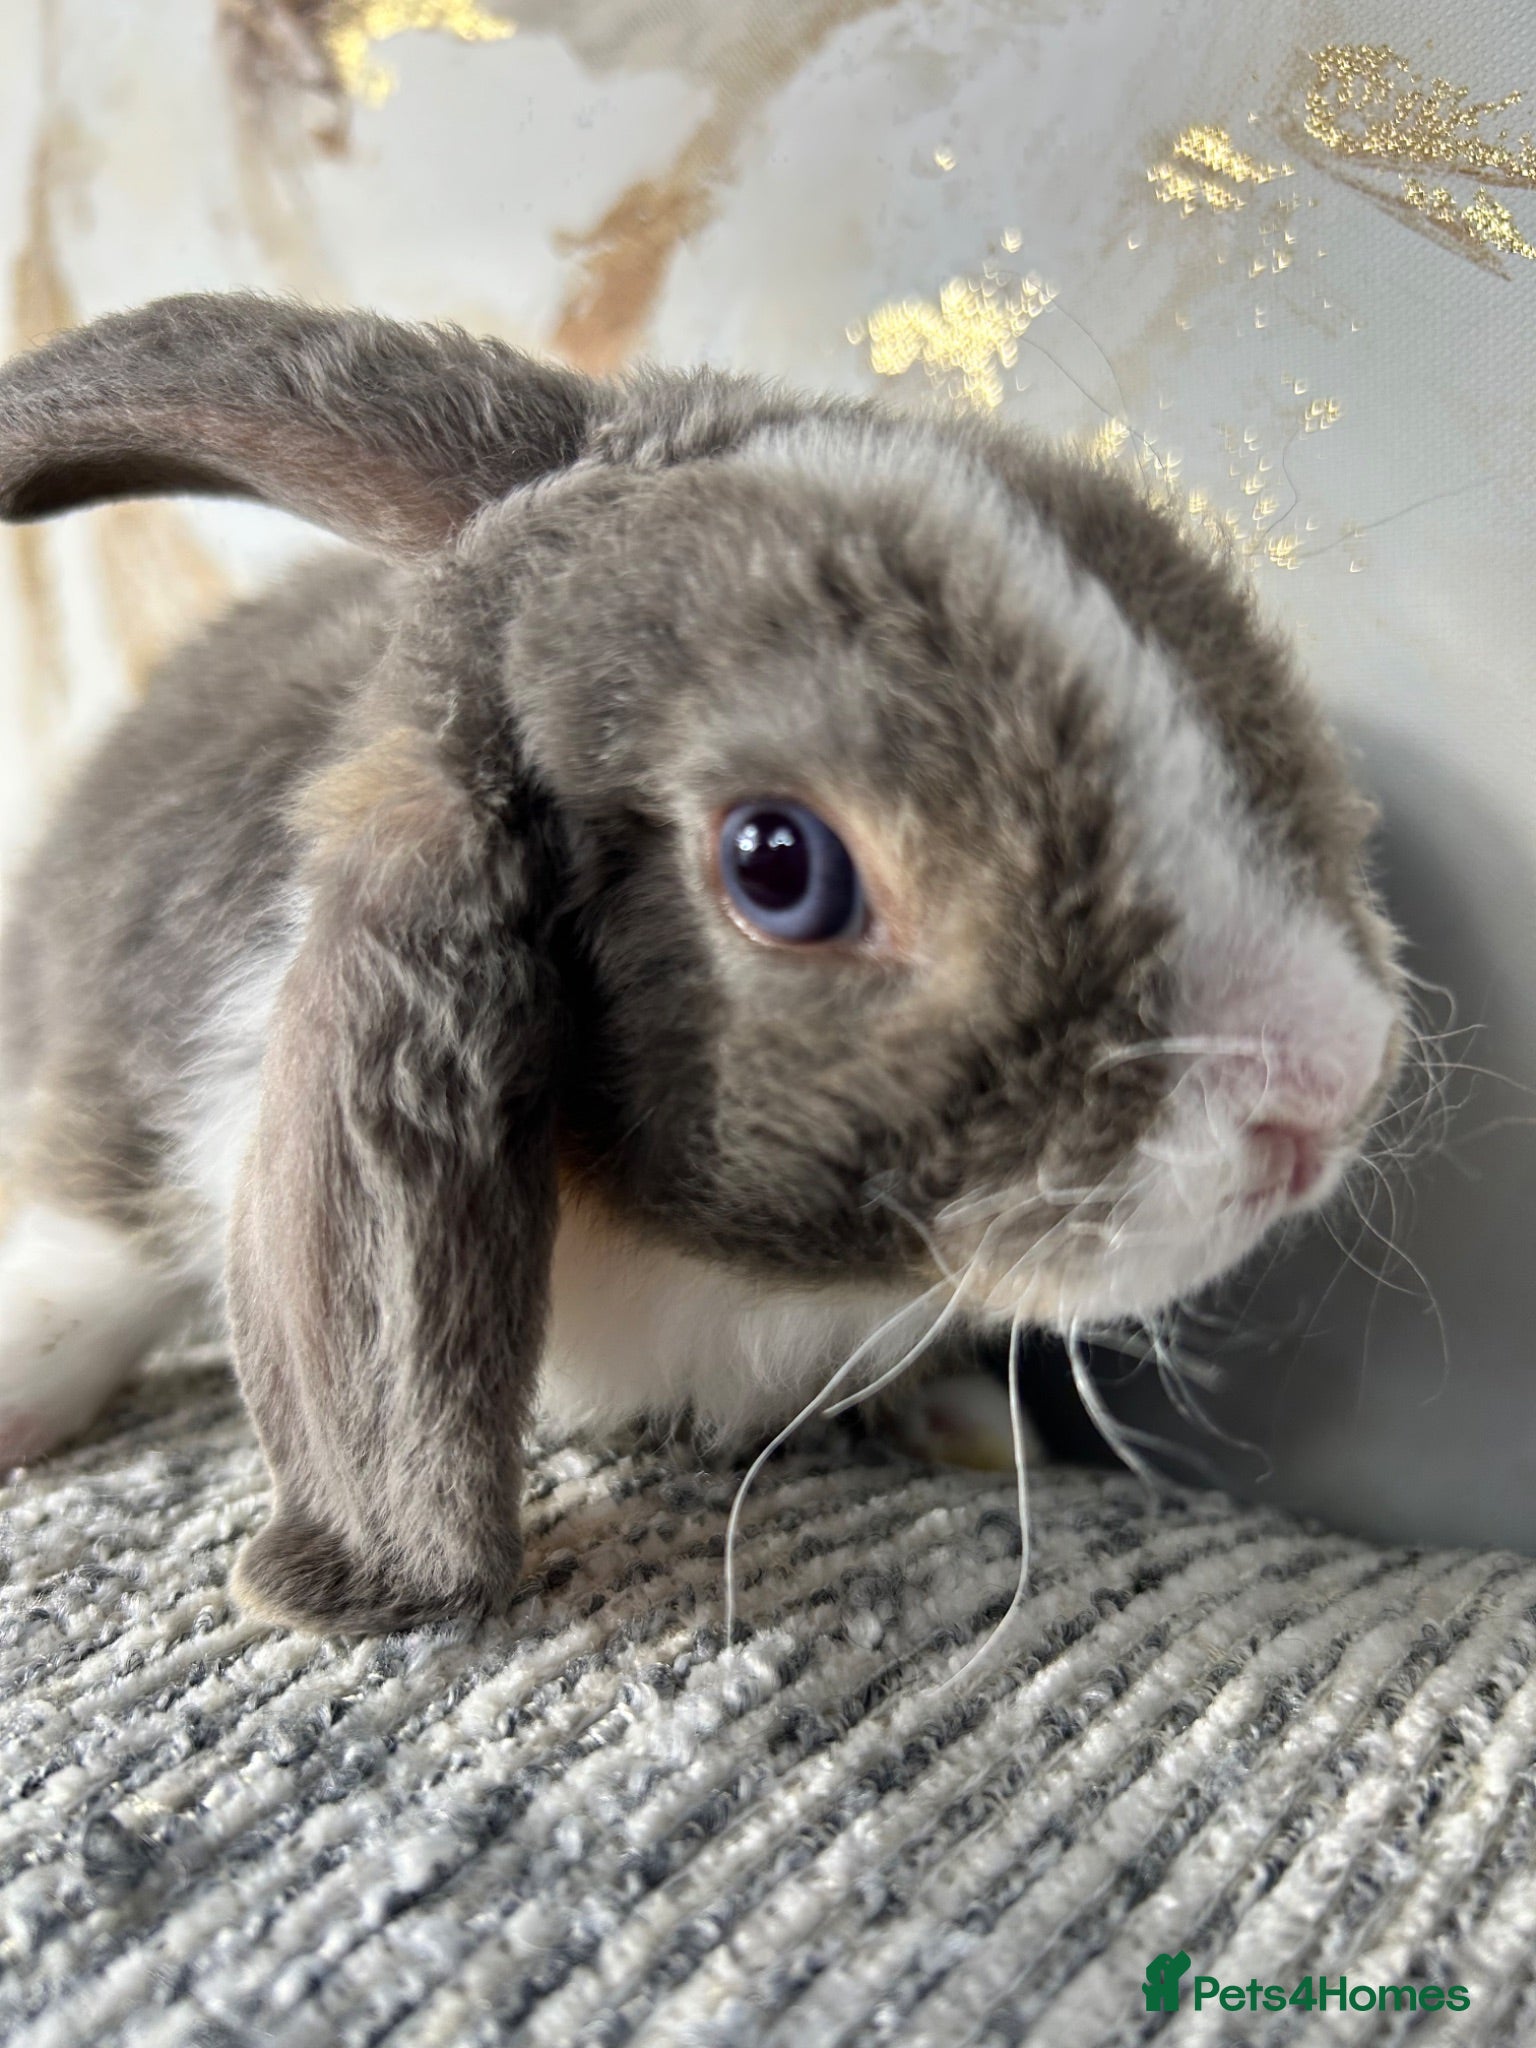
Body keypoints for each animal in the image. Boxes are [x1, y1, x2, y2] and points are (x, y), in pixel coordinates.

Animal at [0, 294, 1403, 1633]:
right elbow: (97, 1244)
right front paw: (23, 1385)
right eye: (780, 865)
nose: (1325, 1090)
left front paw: (964, 1422)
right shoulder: (138, 1065)